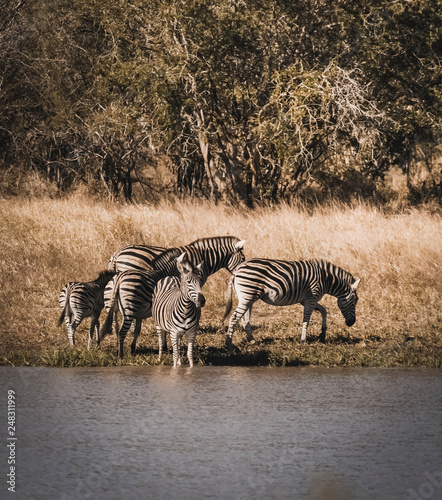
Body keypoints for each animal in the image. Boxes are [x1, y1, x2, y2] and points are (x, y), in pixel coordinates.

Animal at [223, 260, 360, 350]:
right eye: (356, 300)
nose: (351, 322)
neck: (325, 278)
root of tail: (237, 270)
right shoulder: (311, 297)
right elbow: (307, 320)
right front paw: (303, 339)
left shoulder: (306, 300)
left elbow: (324, 310)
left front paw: (322, 335)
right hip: (248, 295)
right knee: (235, 317)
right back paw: (229, 344)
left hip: (247, 297)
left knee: (245, 319)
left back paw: (252, 340)